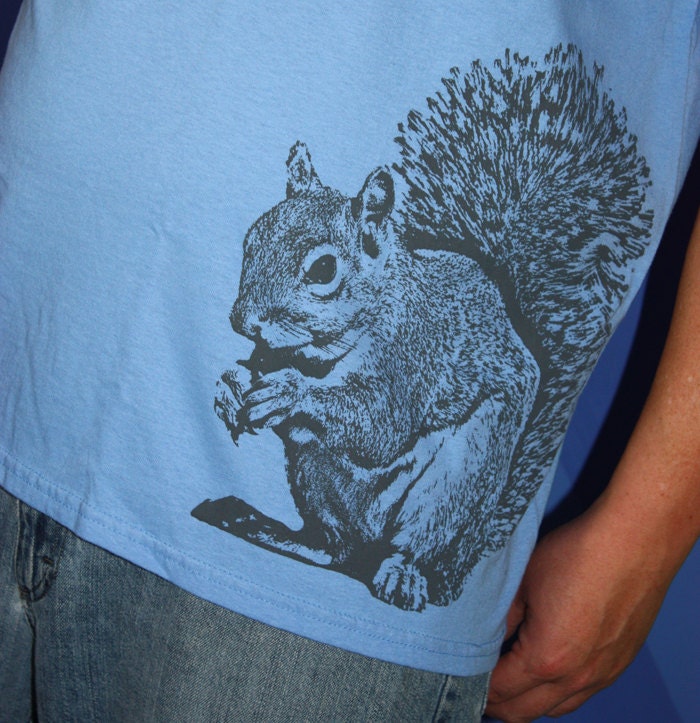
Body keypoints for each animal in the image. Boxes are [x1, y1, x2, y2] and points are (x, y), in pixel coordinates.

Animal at [192, 44, 654, 612]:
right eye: (252, 238)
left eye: (323, 270)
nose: (243, 320)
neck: (326, 349)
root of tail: (458, 566)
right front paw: (232, 386)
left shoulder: (414, 352)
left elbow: (378, 424)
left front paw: (290, 392)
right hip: (314, 476)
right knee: (336, 547)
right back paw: (277, 532)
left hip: (457, 482)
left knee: (411, 545)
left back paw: (403, 574)